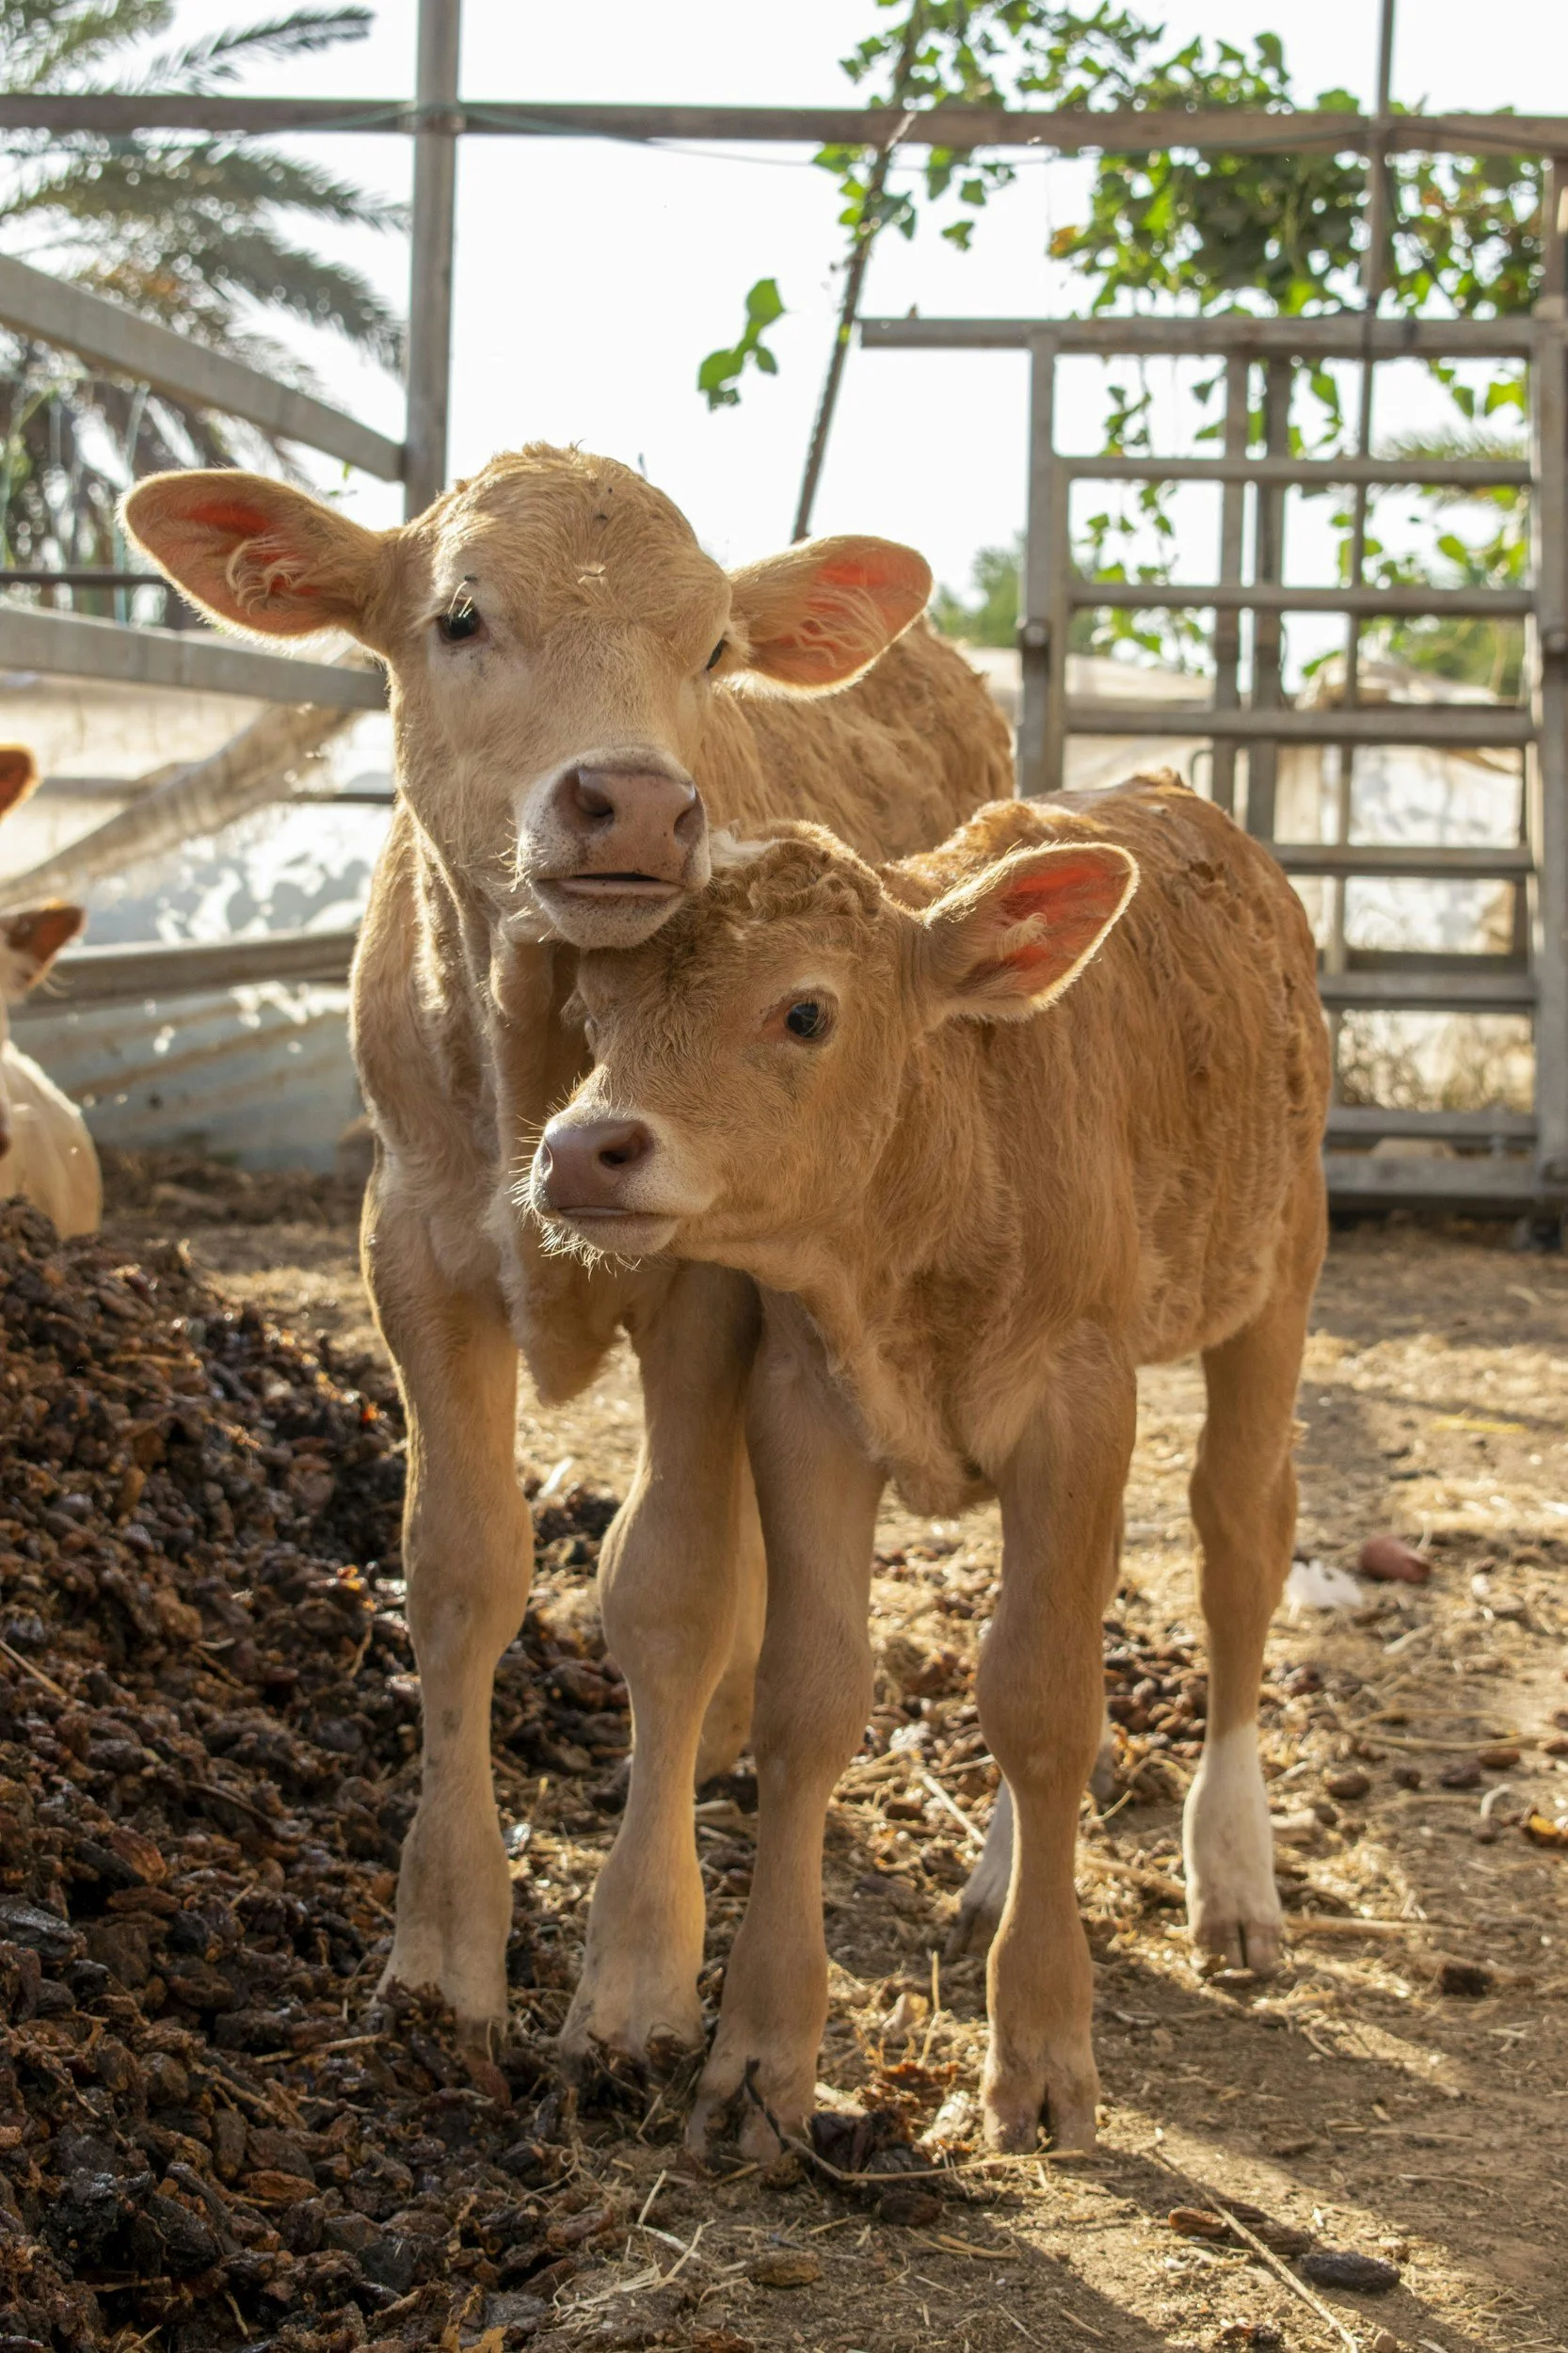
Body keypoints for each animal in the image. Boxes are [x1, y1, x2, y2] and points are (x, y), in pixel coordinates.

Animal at [123, 447, 1012, 2070]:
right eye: (460, 615)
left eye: (713, 646)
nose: (641, 801)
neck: (539, 1035)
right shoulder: (412, 1249)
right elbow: (459, 1568)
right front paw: (444, 1949)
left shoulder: (714, 1287)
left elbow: (665, 1585)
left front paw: (641, 1976)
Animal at [529, 776, 1330, 2156]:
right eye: (593, 1012)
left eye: (805, 1010)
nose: (584, 1148)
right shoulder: (802, 1404)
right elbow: (812, 1702)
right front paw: (759, 2059)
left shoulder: (1079, 1400)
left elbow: (1045, 1704)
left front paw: (1044, 2049)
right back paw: (1007, 1870)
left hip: (1279, 1267)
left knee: (1236, 1544)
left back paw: (1232, 1871)